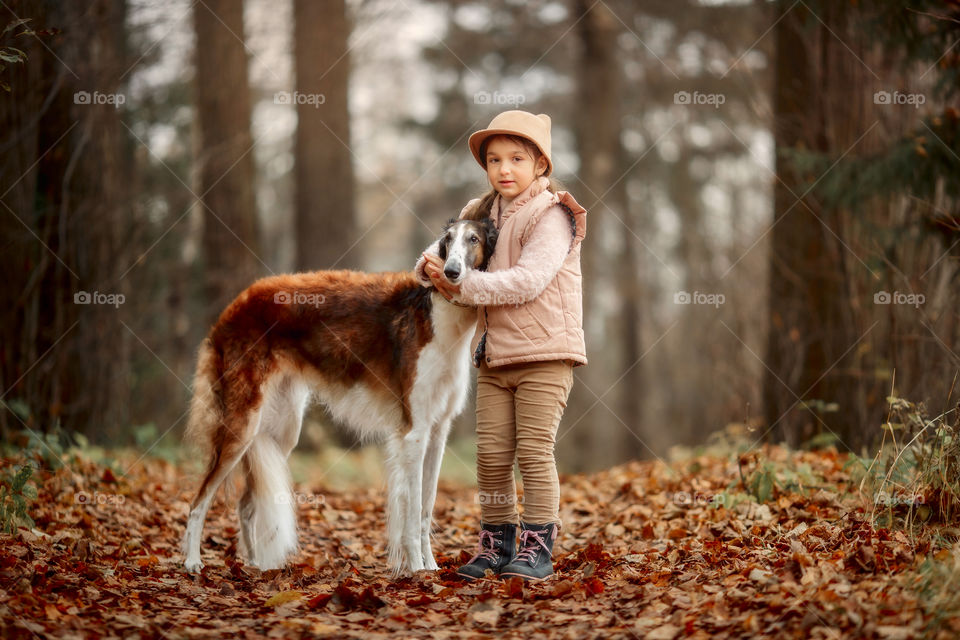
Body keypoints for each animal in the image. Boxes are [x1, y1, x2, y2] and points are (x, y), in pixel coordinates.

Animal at [182, 219, 496, 576]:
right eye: (448, 239)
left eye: (473, 239)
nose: (451, 271)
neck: (438, 314)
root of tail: (232, 308)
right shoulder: (414, 432)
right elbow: (413, 509)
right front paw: (417, 570)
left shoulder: (438, 430)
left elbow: (426, 509)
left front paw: (429, 568)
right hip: (242, 424)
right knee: (198, 501)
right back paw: (192, 561)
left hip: (278, 429)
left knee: (247, 504)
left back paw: (257, 565)